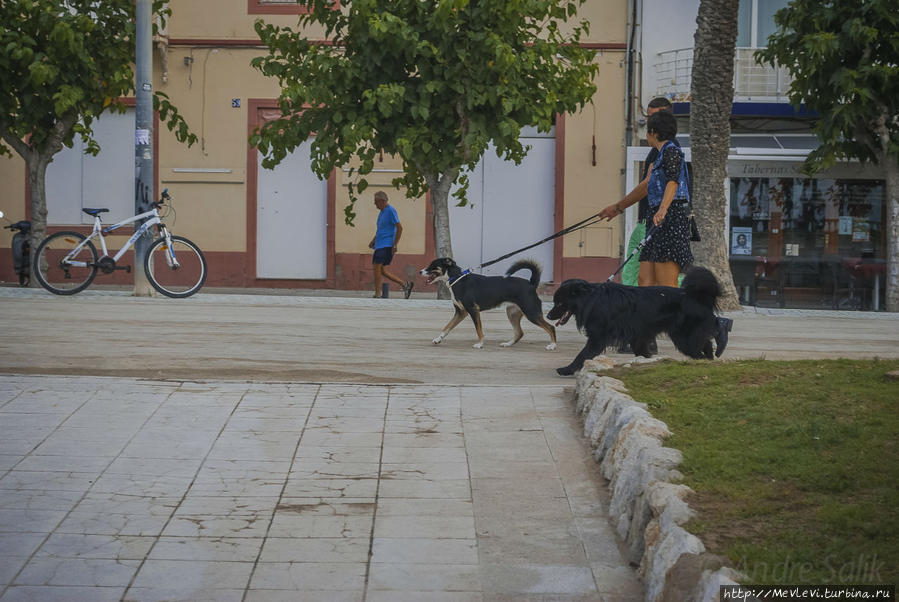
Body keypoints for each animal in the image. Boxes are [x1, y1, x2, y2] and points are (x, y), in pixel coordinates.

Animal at [420, 256, 556, 350]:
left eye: (432, 265)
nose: (420, 272)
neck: (457, 278)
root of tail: (531, 284)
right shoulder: (461, 312)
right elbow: (447, 327)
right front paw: (438, 339)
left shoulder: (473, 310)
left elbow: (479, 330)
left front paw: (480, 344)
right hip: (512, 313)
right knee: (519, 332)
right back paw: (508, 344)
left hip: (531, 313)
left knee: (551, 327)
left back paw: (553, 345)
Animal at [540, 264, 724, 372]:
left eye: (560, 303)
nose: (548, 315)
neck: (591, 299)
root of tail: (699, 297)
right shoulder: (638, 336)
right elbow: (643, 353)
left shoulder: (598, 338)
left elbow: (583, 354)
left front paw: (567, 369)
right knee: (706, 345)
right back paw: (710, 360)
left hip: (684, 338)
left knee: (699, 350)